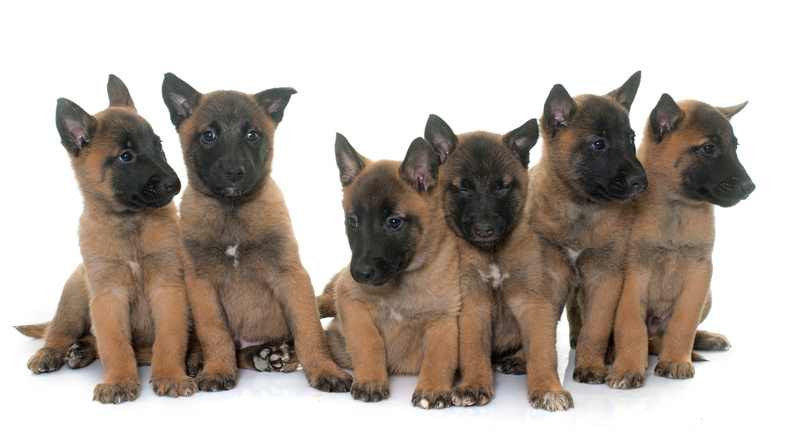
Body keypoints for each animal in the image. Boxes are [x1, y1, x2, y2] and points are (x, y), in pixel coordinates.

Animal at [16, 75, 194, 406]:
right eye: (126, 156)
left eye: (158, 145)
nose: (174, 184)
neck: (130, 223)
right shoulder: (107, 296)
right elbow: (114, 344)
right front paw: (119, 381)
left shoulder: (168, 289)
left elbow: (170, 337)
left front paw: (171, 376)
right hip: (75, 293)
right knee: (58, 331)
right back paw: (53, 352)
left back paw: (82, 351)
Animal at [160, 74, 350, 394]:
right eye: (208, 136)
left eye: (253, 135)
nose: (234, 172)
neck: (232, 209)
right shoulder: (201, 285)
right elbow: (214, 332)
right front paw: (217, 369)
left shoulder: (291, 276)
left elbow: (309, 329)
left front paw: (325, 370)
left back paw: (271, 354)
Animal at [324, 133, 460, 410]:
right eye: (352, 221)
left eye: (394, 222)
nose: (360, 273)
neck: (402, 282)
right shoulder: (350, 299)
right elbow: (368, 341)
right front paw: (371, 381)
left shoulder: (444, 318)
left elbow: (440, 355)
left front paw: (432, 388)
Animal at [422, 114, 540, 410]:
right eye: (464, 186)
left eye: (501, 186)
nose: (485, 230)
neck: (492, 253)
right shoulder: (472, 304)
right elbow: (473, 349)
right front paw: (474, 385)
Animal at [608, 93, 756, 388]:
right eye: (708, 148)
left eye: (735, 146)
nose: (750, 187)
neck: (677, 209)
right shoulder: (633, 276)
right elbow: (631, 326)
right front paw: (628, 367)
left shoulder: (700, 273)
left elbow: (684, 323)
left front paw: (676, 360)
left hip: (708, 295)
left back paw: (705, 339)